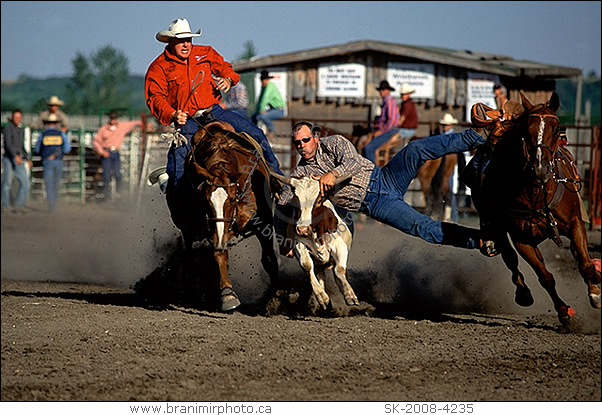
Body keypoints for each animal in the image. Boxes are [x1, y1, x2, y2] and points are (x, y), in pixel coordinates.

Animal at [171, 122, 278, 314]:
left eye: (233, 199)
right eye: (205, 200)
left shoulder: (264, 223)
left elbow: (268, 259)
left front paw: (272, 299)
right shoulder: (212, 227)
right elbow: (219, 253)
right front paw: (228, 295)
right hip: (189, 230)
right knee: (189, 255)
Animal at [476, 92, 596, 324]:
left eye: (556, 129)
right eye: (526, 130)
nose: (539, 169)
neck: (537, 193)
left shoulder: (575, 223)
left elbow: (585, 264)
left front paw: (596, 290)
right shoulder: (522, 239)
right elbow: (545, 277)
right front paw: (563, 311)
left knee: (578, 256)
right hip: (500, 232)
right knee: (510, 260)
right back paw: (523, 293)